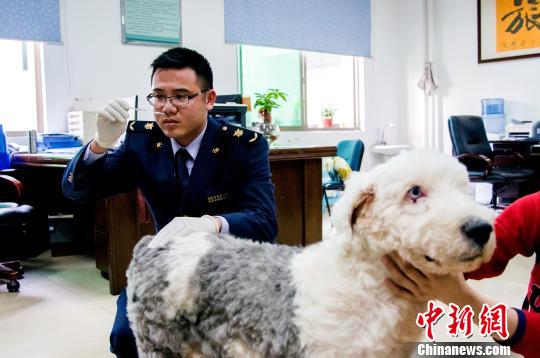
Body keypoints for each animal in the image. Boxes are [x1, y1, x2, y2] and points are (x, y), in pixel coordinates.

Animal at [125, 150, 494, 356]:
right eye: (414, 192)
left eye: (464, 188)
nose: (481, 228)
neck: (364, 285)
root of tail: (150, 243)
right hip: (158, 340)